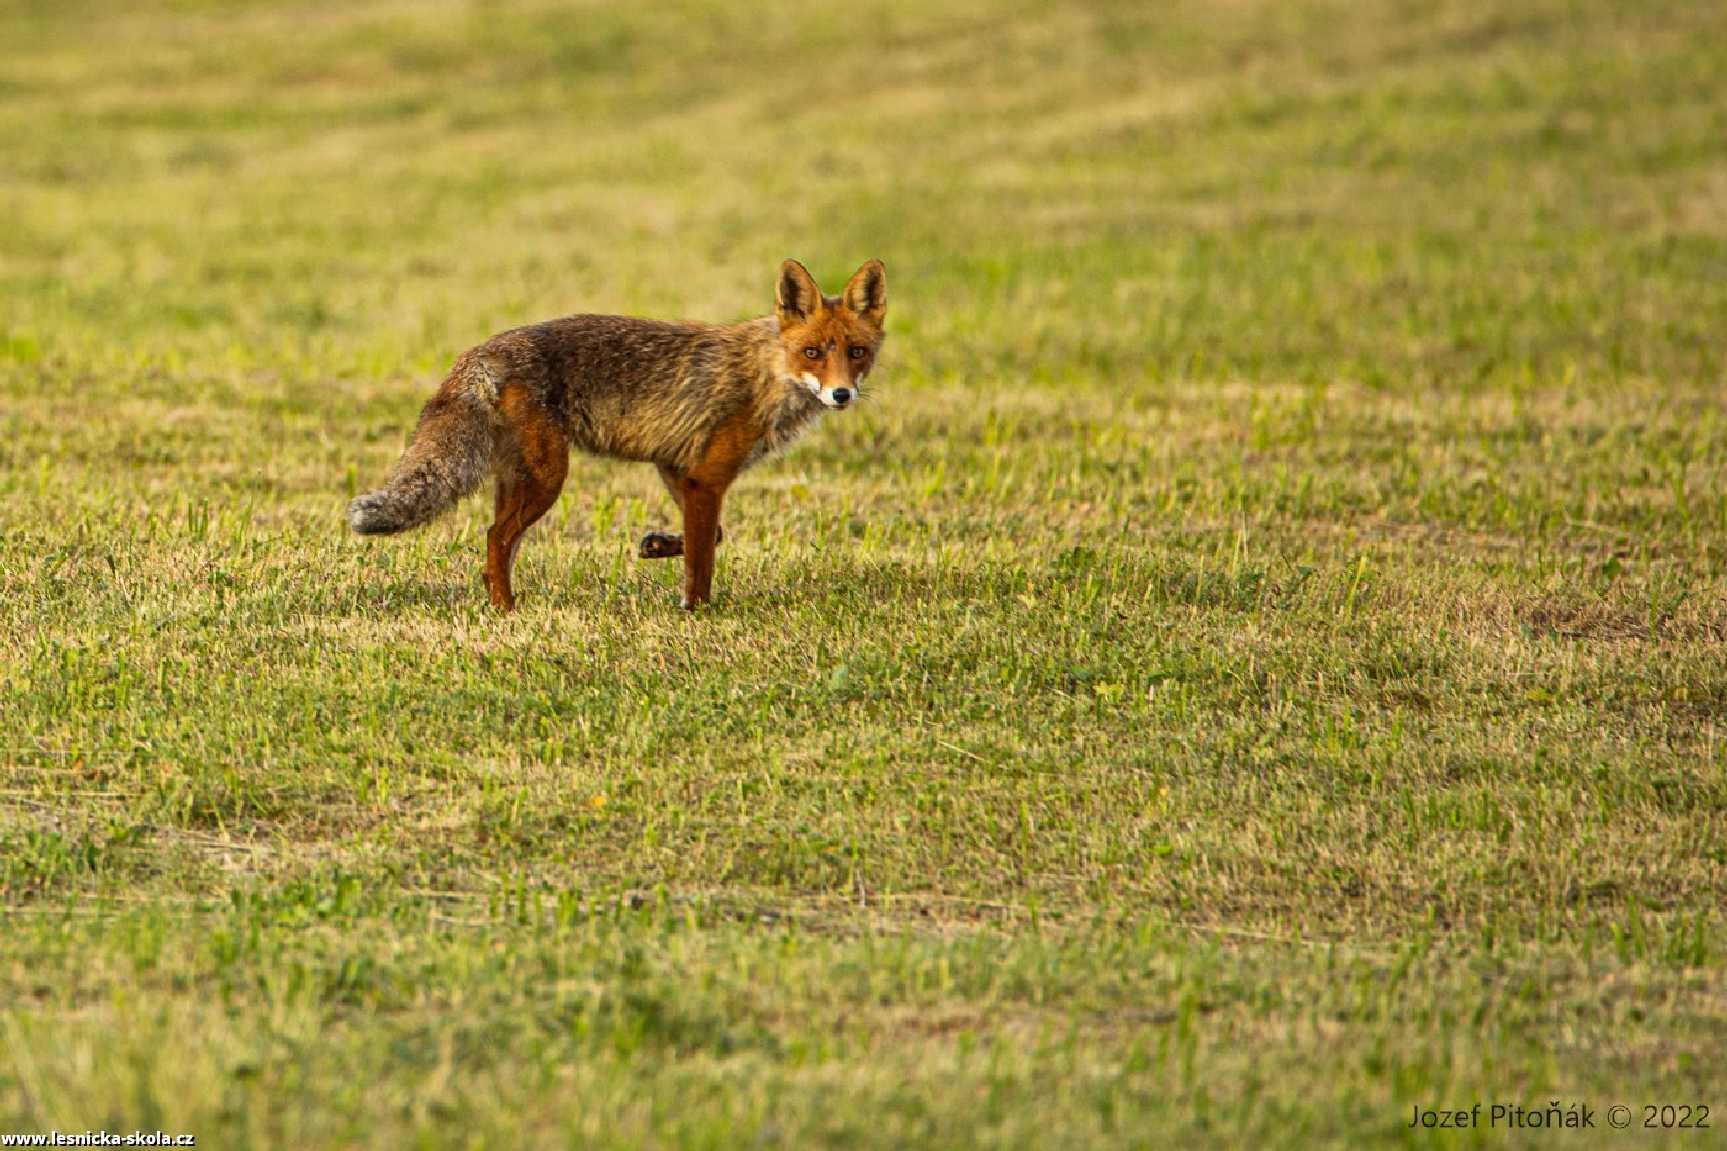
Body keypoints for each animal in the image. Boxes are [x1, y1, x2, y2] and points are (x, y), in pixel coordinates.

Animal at [343, 259, 884, 608]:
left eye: (856, 352)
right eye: (813, 352)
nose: (841, 395)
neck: (767, 376)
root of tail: (481, 351)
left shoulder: (678, 467)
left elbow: (711, 536)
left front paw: (656, 547)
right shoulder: (707, 478)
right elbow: (703, 560)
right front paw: (696, 611)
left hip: (518, 479)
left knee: (498, 543)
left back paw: (502, 602)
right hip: (548, 479)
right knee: (496, 537)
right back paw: (506, 610)